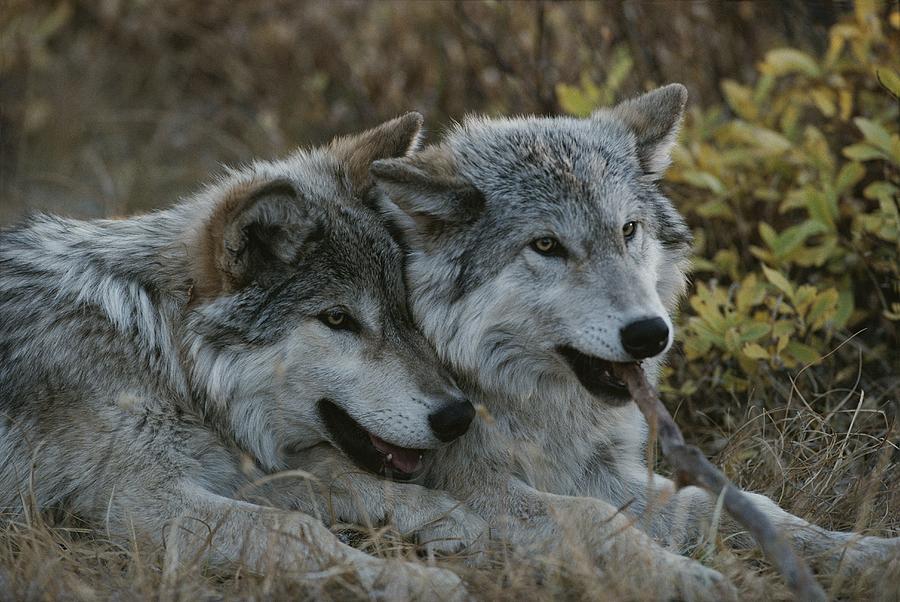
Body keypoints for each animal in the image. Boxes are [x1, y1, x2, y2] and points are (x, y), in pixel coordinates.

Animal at [0, 115, 486, 596]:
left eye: (403, 309)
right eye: (337, 318)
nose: (458, 416)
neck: (163, 351)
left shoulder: (229, 465)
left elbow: (333, 471)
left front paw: (447, 515)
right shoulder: (143, 502)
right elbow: (298, 528)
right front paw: (414, 579)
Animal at [368, 86, 900, 596]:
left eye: (628, 229)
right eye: (546, 245)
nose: (650, 333)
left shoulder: (603, 469)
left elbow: (733, 506)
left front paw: (866, 555)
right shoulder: (470, 485)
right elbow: (593, 515)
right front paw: (689, 578)